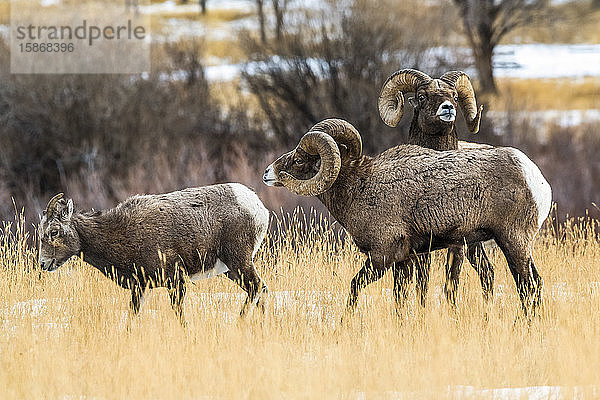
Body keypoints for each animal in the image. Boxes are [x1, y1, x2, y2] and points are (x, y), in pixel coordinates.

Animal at [38, 184, 270, 322]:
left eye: (54, 231)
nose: (43, 263)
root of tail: (258, 207)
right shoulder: (139, 287)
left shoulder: (176, 281)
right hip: (232, 270)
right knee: (260, 291)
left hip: (239, 261)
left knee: (257, 288)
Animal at [262, 118, 552, 316]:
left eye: (299, 159)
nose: (267, 173)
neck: (360, 187)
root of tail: (535, 179)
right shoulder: (404, 260)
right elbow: (400, 298)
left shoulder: (382, 258)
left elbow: (356, 287)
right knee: (536, 284)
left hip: (513, 243)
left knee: (527, 288)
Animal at [382, 68, 494, 306]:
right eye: (422, 96)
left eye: (455, 96)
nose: (447, 108)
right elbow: (421, 282)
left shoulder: (457, 244)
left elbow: (451, 281)